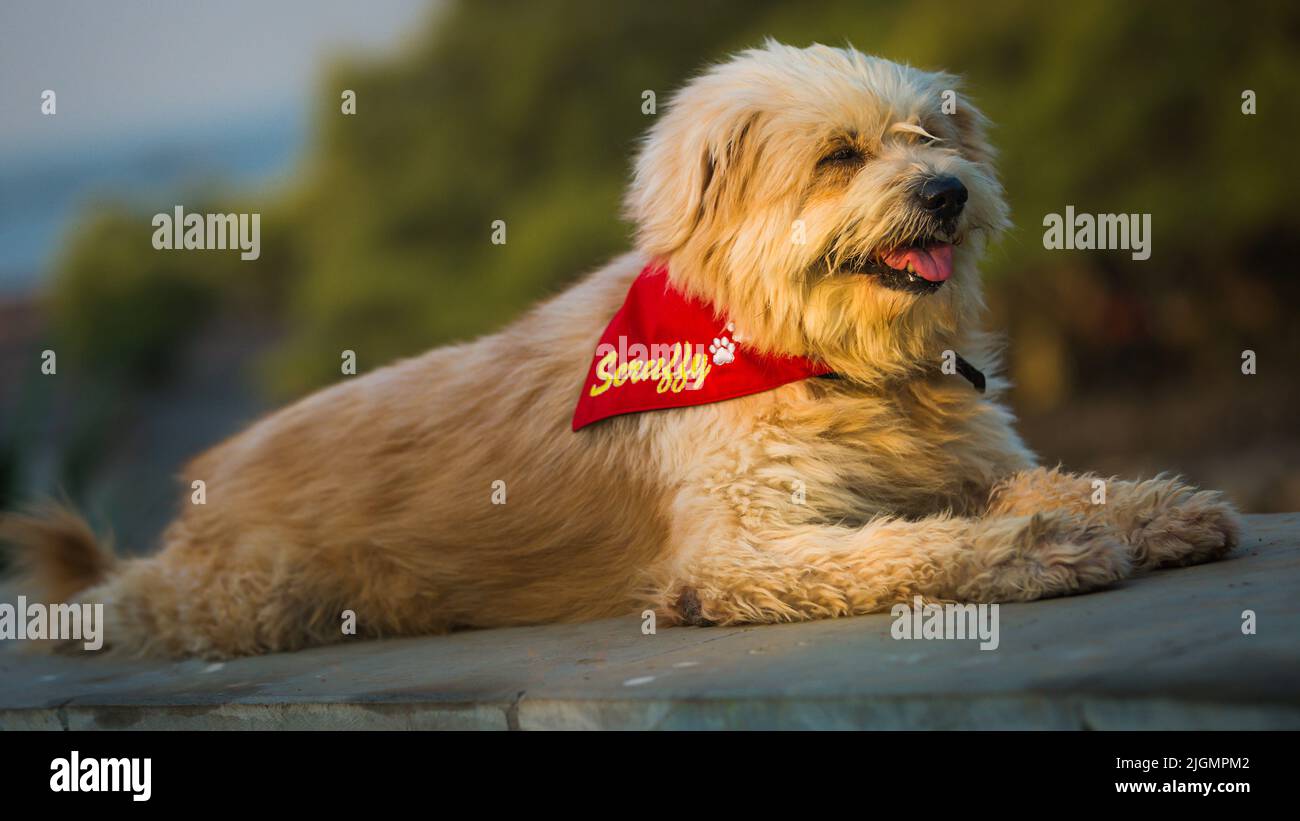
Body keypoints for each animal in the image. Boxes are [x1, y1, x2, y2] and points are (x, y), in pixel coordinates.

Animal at [0, 41, 1237, 657]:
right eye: (840, 155)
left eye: (937, 134)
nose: (946, 191)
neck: (812, 352)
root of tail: (203, 479)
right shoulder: (737, 545)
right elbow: (910, 543)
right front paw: (1044, 546)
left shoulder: (962, 459)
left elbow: (1045, 477)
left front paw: (1155, 504)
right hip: (243, 595)